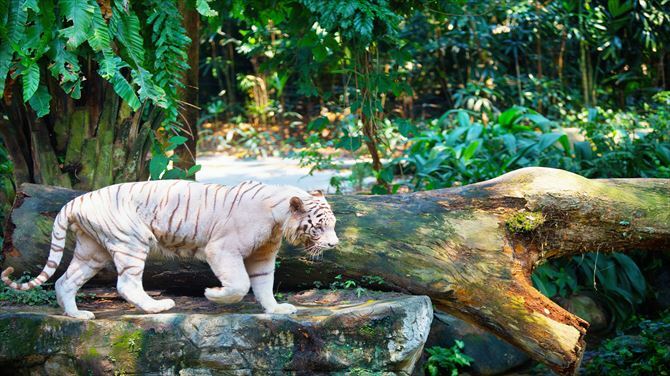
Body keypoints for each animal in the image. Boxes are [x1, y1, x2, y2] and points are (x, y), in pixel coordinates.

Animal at [1, 181, 342, 318]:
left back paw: (77, 315)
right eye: (320, 226)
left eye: (334, 224)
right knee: (126, 284)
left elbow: (263, 284)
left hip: (91, 251)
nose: (335, 243)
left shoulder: (263, 254)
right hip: (131, 242)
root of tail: (76, 200)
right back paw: (157, 307)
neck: (278, 219)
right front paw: (213, 294)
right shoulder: (222, 249)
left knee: (64, 281)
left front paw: (276, 309)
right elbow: (241, 283)